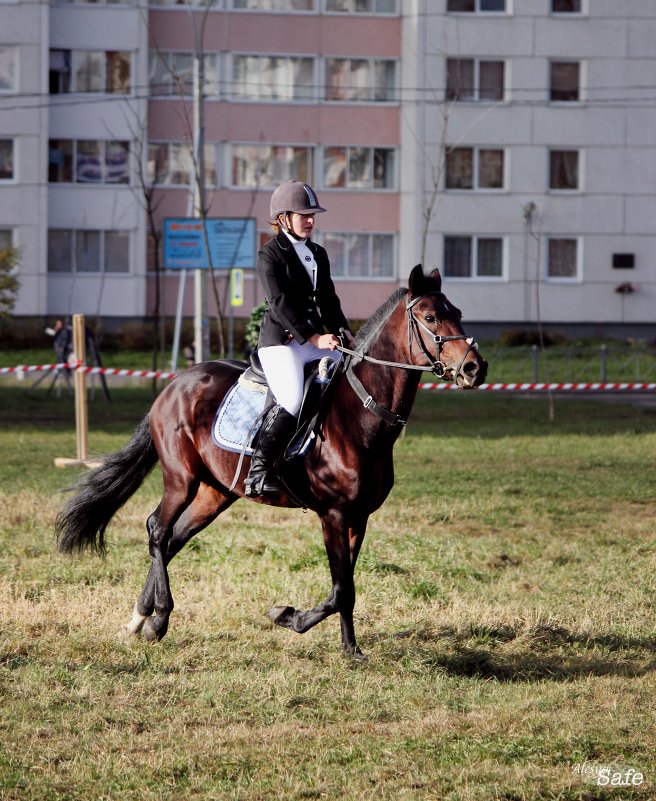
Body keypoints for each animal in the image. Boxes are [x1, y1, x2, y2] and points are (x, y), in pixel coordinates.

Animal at [56, 266, 486, 660]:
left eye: (458, 312)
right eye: (430, 318)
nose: (474, 368)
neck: (361, 415)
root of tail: (177, 383)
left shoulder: (358, 516)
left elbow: (344, 588)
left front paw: (348, 648)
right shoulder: (333, 514)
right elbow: (341, 589)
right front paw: (289, 617)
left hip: (216, 492)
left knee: (174, 537)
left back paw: (139, 618)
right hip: (181, 478)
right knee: (158, 531)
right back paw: (159, 618)